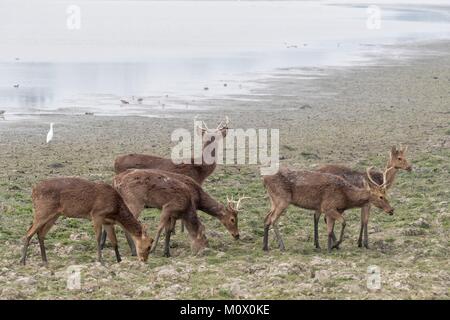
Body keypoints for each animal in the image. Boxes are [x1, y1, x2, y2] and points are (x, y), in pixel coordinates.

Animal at [20, 178, 154, 264]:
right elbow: (98, 237)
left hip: (54, 215)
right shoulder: (96, 215)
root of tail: (33, 190)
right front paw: (100, 260)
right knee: (28, 232)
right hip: (42, 210)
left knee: (40, 233)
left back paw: (44, 260)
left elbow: (114, 241)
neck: (115, 211)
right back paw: (23, 261)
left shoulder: (108, 221)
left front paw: (119, 260)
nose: (144, 260)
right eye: (148, 245)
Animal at [111, 170, 248, 258]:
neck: (198, 199)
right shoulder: (171, 207)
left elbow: (169, 230)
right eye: (232, 219)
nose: (237, 235)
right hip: (134, 201)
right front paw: (157, 249)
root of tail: (116, 181)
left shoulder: (172, 213)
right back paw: (134, 250)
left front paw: (167, 252)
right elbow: (164, 228)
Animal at [260, 168, 394, 252]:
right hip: (282, 199)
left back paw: (265, 247)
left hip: (273, 201)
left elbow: (330, 229)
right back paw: (282, 246)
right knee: (273, 219)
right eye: (381, 196)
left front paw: (329, 247)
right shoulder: (328, 207)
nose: (391, 210)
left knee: (266, 218)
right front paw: (335, 245)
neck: (346, 197)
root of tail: (264, 180)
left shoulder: (330, 210)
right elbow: (343, 222)